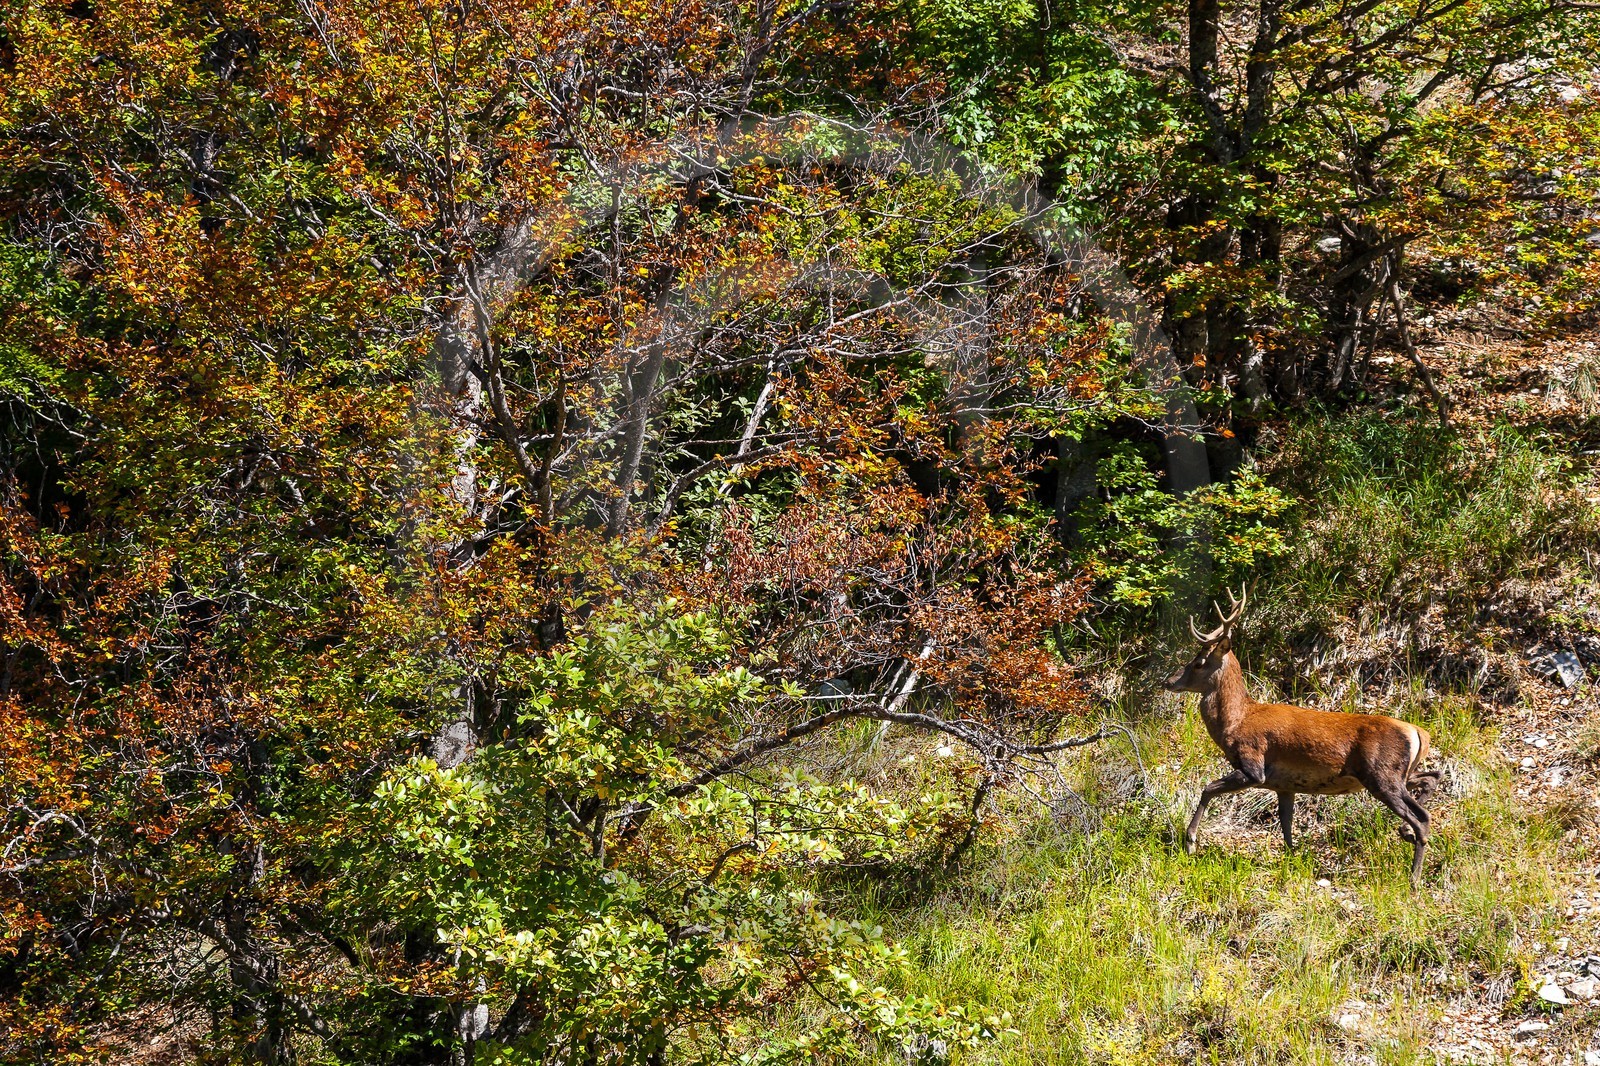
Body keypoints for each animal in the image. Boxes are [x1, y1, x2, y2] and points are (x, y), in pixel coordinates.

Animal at [1164, 587, 1442, 884]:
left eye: (1198, 663)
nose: (1168, 681)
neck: (1236, 722)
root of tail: (1418, 731)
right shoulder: (1284, 784)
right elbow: (1286, 824)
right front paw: (1291, 861)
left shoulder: (1253, 766)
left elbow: (1207, 789)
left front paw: (1190, 841)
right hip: (1397, 773)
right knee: (1432, 778)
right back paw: (1405, 834)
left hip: (1381, 774)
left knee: (1422, 818)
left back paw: (1413, 879)